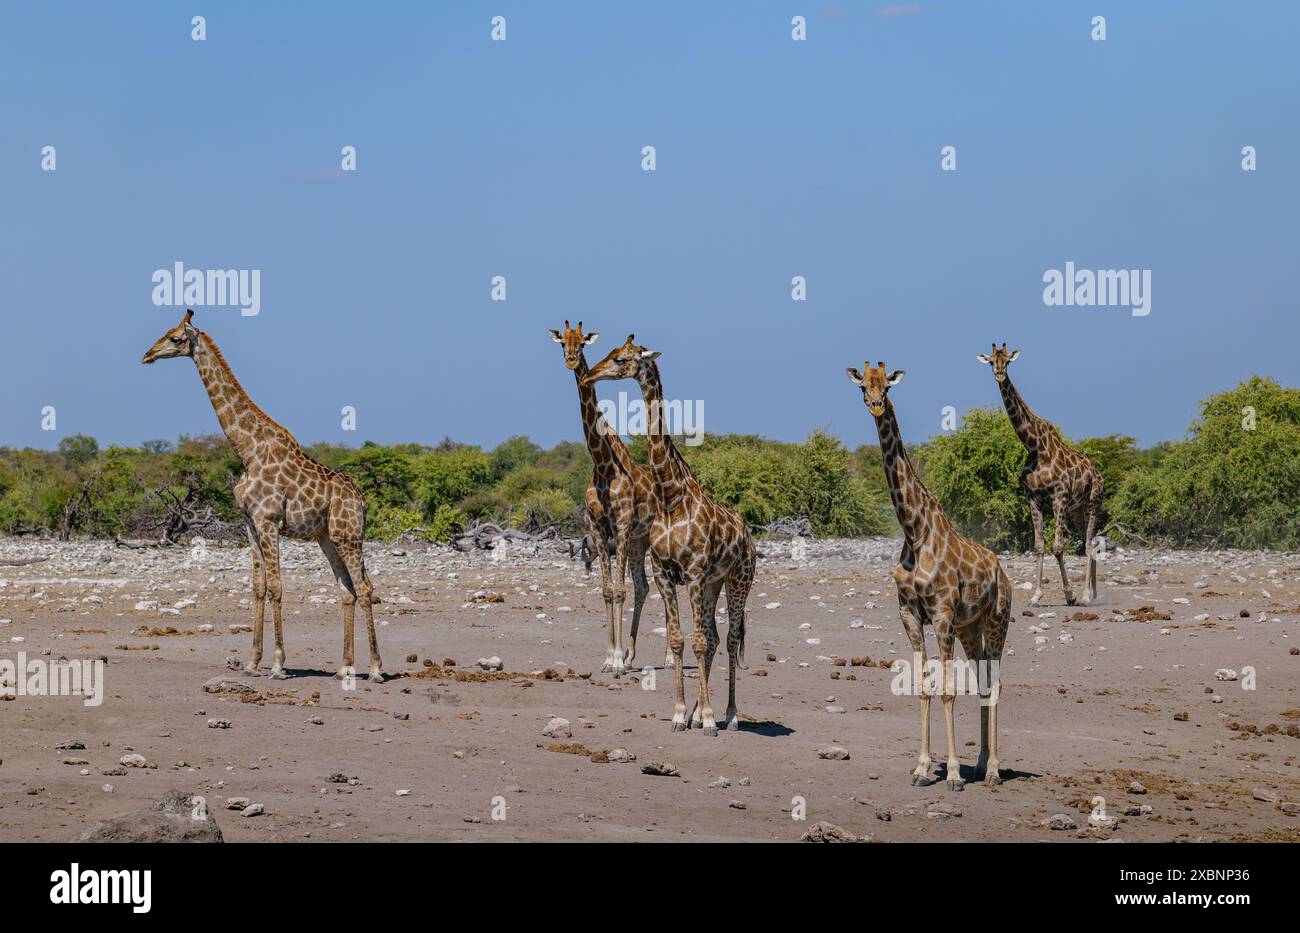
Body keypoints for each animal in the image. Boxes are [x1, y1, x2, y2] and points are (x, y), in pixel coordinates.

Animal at [144, 310, 384, 680]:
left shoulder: (268, 520)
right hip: (327, 537)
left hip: (349, 534)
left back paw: (374, 668)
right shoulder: (249, 523)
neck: (247, 450)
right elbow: (258, 587)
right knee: (346, 589)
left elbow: (276, 587)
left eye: (175, 338)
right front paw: (252, 661)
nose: (147, 355)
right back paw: (344, 667)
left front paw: (278, 663)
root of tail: (361, 499)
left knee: (365, 588)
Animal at [548, 322, 670, 670]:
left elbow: (618, 591)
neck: (602, 463)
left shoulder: (623, 526)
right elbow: (606, 591)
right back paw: (631, 655)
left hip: (651, 540)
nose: (572, 361)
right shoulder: (597, 530)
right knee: (643, 586)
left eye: (582, 343)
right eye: (562, 342)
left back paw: (668, 657)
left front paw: (615, 660)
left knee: (658, 587)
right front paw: (610, 656)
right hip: (639, 544)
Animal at [585, 337, 759, 738]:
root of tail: (749, 537)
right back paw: (698, 712)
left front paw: (708, 718)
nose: (590, 374)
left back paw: (730, 715)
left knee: (729, 639)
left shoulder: (692, 573)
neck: (671, 496)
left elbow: (697, 641)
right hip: (713, 584)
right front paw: (681, 714)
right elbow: (681, 641)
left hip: (738, 580)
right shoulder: (666, 574)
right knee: (713, 637)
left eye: (621, 359)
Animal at [847, 361, 1008, 795]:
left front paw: (951, 773)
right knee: (982, 680)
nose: (875, 405)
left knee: (995, 683)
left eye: (886, 385)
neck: (915, 531)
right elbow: (922, 689)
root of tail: (1002, 572)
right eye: (861, 386)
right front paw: (922, 769)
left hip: (997, 622)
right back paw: (980, 764)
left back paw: (992, 770)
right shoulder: (910, 615)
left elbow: (948, 691)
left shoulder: (942, 615)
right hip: (971, 628)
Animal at [977, 343, 1102, 605]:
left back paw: (1086, 594)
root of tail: (1097, 473)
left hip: (1094, 501)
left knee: (1089, 543)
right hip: (1077, 510)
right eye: (992, 361)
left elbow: (1057, 547)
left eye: (1008, 361)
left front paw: (1069, 594)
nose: (1000, 374)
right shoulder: (1033, 499)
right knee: (1092, 541)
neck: (1035, 447)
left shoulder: (1058, 498)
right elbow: (1039, 547)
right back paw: (1093, 592)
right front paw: (1035, 595)